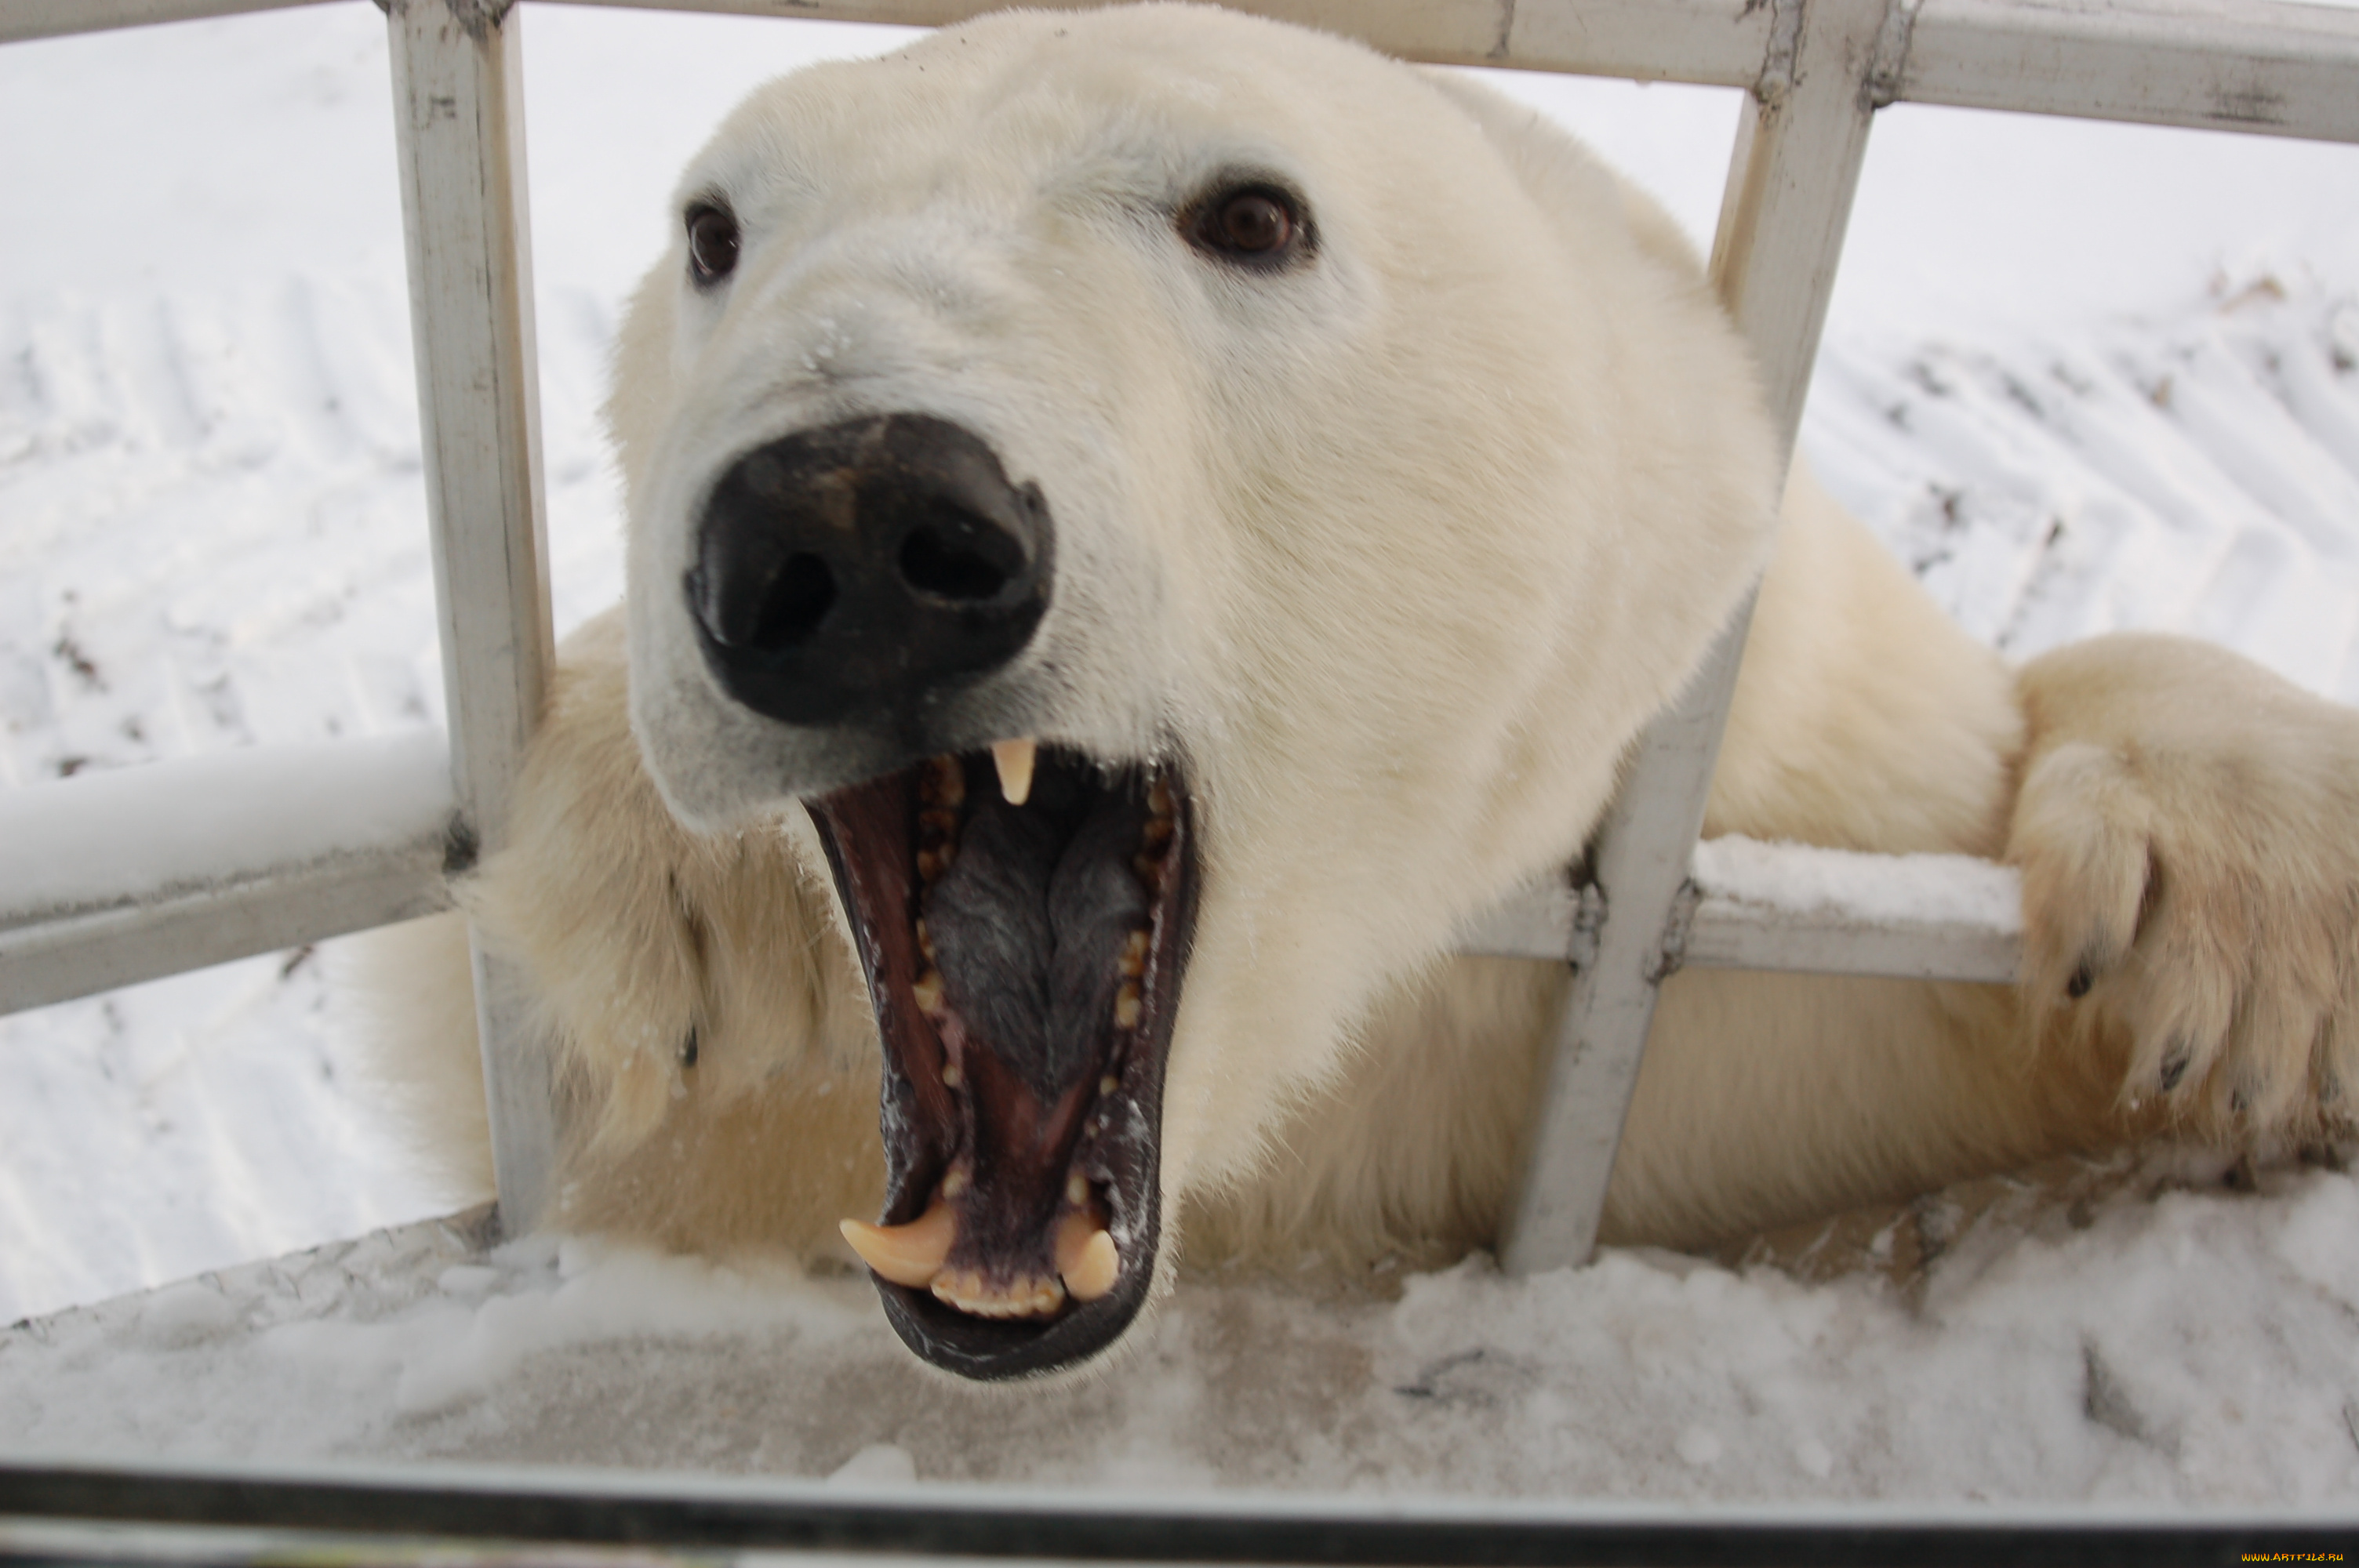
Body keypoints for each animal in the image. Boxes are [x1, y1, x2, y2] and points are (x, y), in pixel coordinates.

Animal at [365, 2, 2359, 1381]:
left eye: (1252, 212)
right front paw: (668, 889)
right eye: (713, 231)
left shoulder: (1792, 962)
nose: (849, 526)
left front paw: (2246, 912)